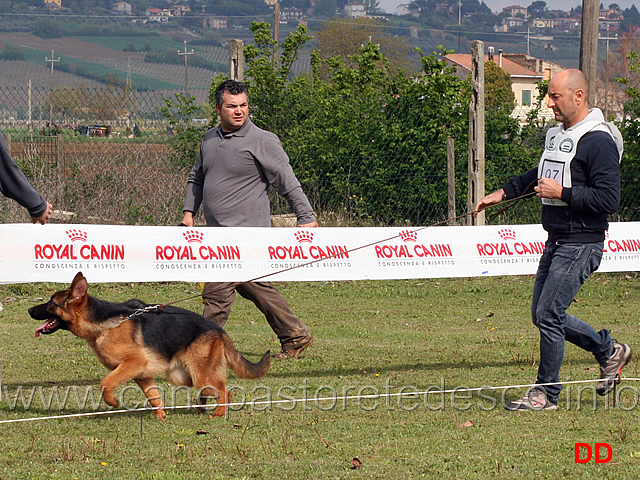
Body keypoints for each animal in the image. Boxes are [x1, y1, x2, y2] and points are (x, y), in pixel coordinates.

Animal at [28, 274, 270, 420]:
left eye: (50, 303)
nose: (29, 310)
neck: (104, 323)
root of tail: (219, 330)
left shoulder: (133, 363)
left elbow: (105, 383)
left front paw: (113, 401)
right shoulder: (141, 374)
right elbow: (153, 396)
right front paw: (160, 416)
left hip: (199, 374)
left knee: (225, 392)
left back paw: (218, 414)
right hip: (185, 376)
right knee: (213, 390)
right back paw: (201, 408)